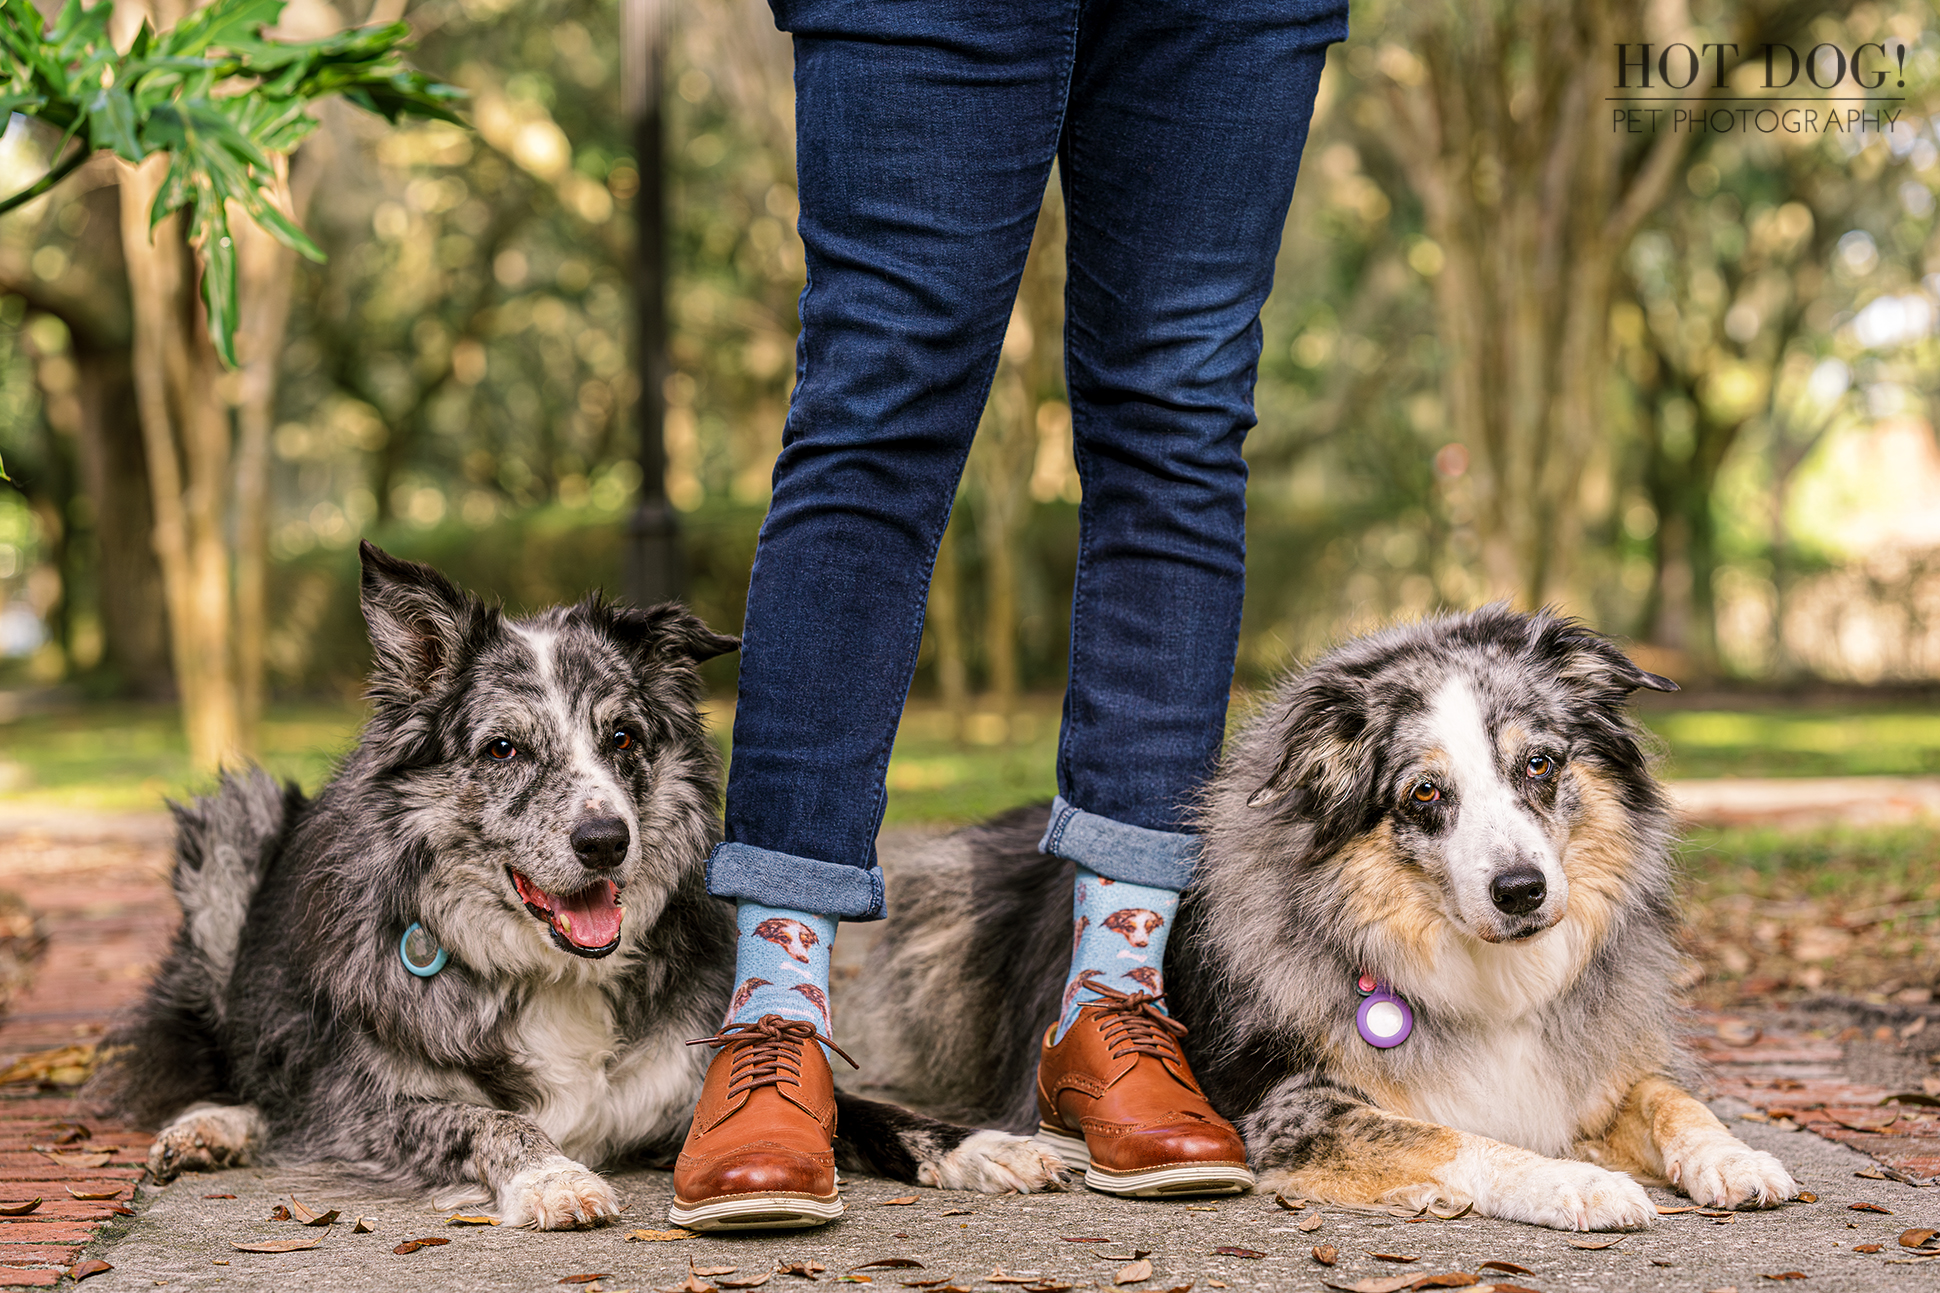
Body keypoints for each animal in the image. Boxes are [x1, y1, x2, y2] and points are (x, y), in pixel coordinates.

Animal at [91, 539, 1063, 1226]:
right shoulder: (369, 1105)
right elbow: (480, 1118)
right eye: (503, 748)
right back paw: (211, 1126)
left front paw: (984, 1144)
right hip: (237, 827)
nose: (604, 841)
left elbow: (865, 1108)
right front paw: (553, 1175)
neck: (555, 972)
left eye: (623, 737)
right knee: (249, 1076)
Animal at [853, 605, 1800, 1226]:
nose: (1522, 889)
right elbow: (1450, 1135)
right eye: (1424, 792)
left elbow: (1671, 1096)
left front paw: (1735, 1155)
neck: (1466, 964)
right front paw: (1573, 1182)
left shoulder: (1590, 1062)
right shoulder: (1284, 1110)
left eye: (1539, 763)